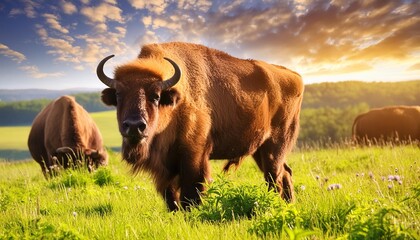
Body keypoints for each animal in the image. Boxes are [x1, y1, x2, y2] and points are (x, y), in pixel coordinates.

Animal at [97, 42, 304, 211]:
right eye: (118, 95)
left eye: (156, 96)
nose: (134, 126)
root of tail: (296, 77)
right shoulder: (165, 167)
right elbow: (170, 194)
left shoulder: (194, 156)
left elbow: (191, 191)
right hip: (259, 149)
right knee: (285, 173)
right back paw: (288, 205)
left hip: (274, 146)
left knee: (275, 176)